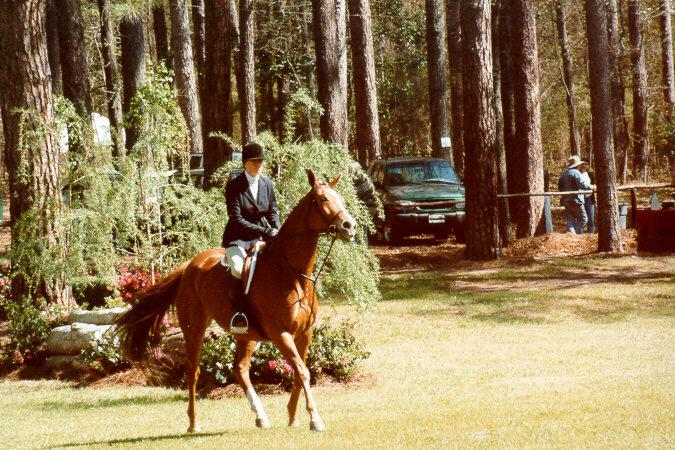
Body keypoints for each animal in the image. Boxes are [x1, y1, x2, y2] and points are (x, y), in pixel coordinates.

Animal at [115, 169, 360, 432]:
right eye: (323, 199)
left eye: (341, 198)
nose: (349, 226)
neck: (292, 273)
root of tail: (189, 266)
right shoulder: (281, 333)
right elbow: (302, 371)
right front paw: (315, 420)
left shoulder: (305, 333)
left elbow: (300, 371)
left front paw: (293, 416)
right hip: (194, 328)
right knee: (193, 371)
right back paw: (193, 423)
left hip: (247, 334)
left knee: (240, 370)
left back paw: (261, 416)